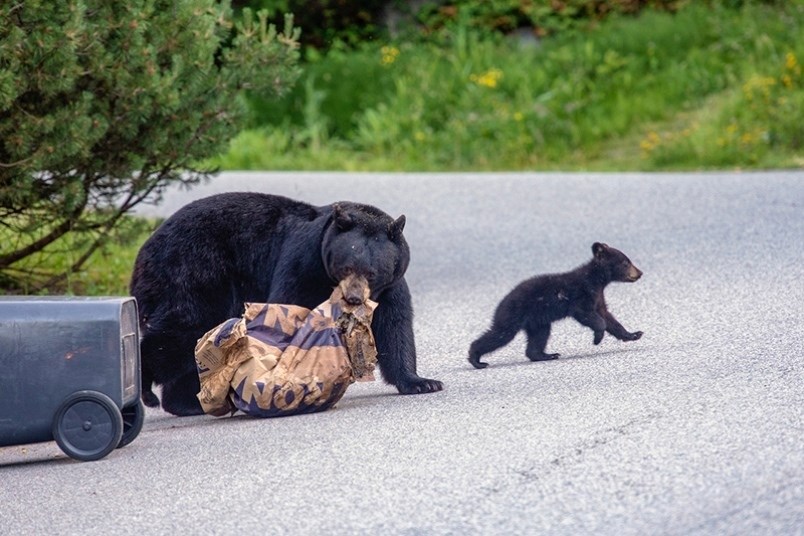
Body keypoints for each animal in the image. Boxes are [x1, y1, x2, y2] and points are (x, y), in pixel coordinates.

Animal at [130, 193, 442, 414]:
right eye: (345, 267)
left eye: (372, 272)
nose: (353, 298)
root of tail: (143, 254)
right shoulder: (303, 264)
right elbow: (286, 312)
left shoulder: (390, 287)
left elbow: (395, 328)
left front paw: (422, 382)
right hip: (193, 272)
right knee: (183, 330)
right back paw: (147, 390)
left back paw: (187, 403)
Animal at [468, 243, 644, 368]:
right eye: (626, 262)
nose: (640, 273)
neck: (596, 280)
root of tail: (501, 302)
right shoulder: (581, 294)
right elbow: (589, 315)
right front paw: (597, 338)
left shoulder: (598, 297)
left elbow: (608, 317)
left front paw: (634, 334)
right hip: (513, 314)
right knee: (500, 334)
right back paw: (476, 359)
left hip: (537, 321)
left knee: (539, 336)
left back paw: (546, 355)